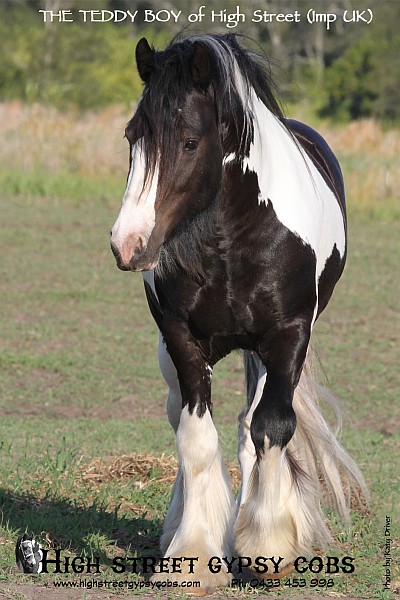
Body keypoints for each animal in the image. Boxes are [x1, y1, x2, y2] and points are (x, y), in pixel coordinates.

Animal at [110, 34, 366, 592]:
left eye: (189, 141)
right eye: (132, 137)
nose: (127, 243)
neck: (233, 240)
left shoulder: (288, 336)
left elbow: (270, 426)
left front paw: (269, 545)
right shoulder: (180, 339)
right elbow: (196, 438)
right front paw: (194, 553)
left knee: (254, 427)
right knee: (181, 418)